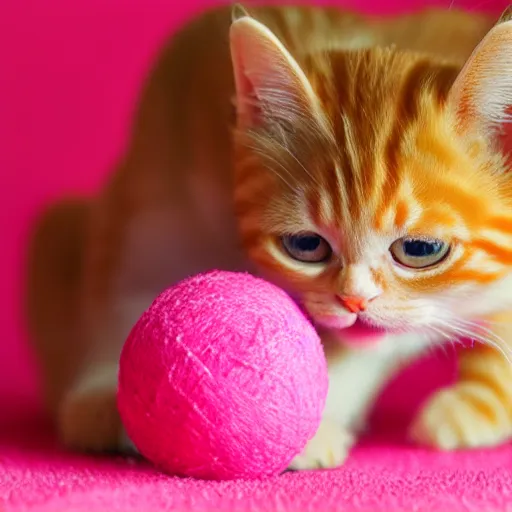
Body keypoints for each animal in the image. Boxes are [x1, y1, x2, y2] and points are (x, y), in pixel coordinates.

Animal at [25, 2, 512, 470]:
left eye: (420, 249)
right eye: (305, 245)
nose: (353, 302)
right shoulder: (167, 140)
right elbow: (125, 275)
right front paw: (104, 392)